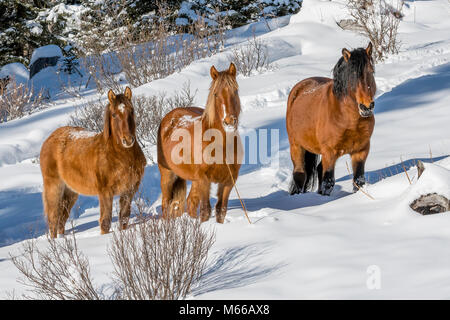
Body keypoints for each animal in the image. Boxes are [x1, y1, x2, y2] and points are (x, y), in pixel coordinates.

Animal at [40, 86, 146, 236]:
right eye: (114, 115)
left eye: (132, 111)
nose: (128, 140)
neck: (118, 156)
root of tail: (49, 138)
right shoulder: (105, 192)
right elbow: (105, 222)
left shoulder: (129, 189)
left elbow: (124, 218)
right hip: (54, 187)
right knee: (53, 218)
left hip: (70, 192)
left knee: (62, 218)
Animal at [158, 62, 243, 222]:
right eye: (215, 94)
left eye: (235, 91)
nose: (229, 122)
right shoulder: (204, 180)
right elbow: (205, 211)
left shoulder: (229, 181)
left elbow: (221, 210)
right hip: (168, 174)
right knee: (166, 204)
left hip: (194, 180)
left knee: (191, 202)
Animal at [288, 43, 376, 195]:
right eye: (352, 74)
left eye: (371, 71)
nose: (366, 107)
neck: (349, 119)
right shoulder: (329, 153)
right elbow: (328, 183)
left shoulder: (361, 151)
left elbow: (359, 180)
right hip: (296, 146)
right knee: (300, 174)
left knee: (318, 169)